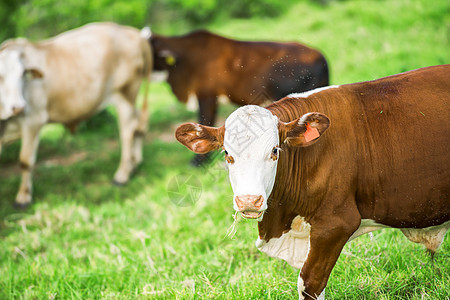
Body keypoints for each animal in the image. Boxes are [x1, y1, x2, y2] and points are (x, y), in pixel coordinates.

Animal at [0, 22, 153, 207]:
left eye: (22, 74)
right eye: (0, 76)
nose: (19, 107)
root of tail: (135, 34)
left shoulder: (33, 121)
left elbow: (25, 161)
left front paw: (23, 197)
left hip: (125, 94)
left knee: (128, 131)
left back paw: (122, 175)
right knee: (139, 124)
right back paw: (134, 163)